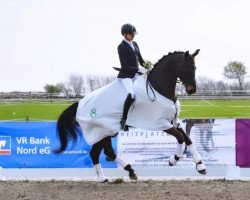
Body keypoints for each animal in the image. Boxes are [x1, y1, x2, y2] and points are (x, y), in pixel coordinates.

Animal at [55, 49, 207, 182]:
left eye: (195, 67)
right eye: (187, 68)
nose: (192, 90)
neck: (159, 88)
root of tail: (79, 104)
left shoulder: (173, 120)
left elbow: (188, 139)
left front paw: (200, 165)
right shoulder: (160, 123)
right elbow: (181, 137)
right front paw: (174, 159)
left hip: (107, 132)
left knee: (105, 152)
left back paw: (123, 173)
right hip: (101, 131)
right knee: (98, 153)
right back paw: (106, 177)